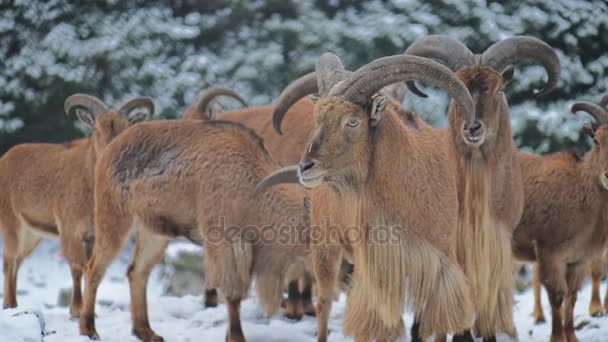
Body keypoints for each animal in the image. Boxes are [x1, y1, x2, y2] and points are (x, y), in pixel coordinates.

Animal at [0, 93, 152, 316]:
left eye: (125, 127)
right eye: (96, 128)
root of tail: (4, 160)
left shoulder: (92, 236)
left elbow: (88, 269)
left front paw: (88, 311)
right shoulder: (71, 231)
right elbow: (77, 268)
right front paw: (77, 309)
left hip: (32, 234)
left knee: (18, 260)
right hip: (12, 223)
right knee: (9, 260)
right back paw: (10, 305)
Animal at [78, 118, 308, 342]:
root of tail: (111, 148)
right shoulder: (224, 245)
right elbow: (232, 294)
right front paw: (236, 337)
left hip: (154, 234)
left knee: (137, 271)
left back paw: (147, 332)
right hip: (113, 219)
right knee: (94, 269)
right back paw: (88, 329)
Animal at [262, 52, 480, 342]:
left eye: (352, 121)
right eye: (318, 119)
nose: (305, 167)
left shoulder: (440, 267)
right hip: (325, 246)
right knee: (324, 304)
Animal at [512, 101, 608, 342]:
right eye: (596, 140)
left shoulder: (579, 259)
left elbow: (571, 297)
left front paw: (572, 337)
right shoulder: (549, 253)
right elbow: (556, 295)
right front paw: (557, 337)